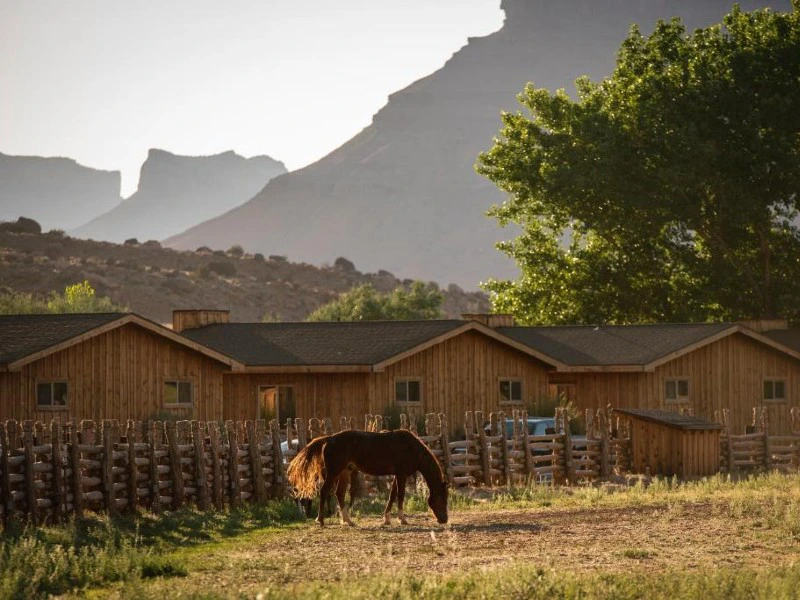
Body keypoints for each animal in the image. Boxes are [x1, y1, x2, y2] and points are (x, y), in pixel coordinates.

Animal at [287, 429, 449, 527]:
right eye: (442, 498)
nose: (444, 519)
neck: (411, 448)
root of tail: (329, 439)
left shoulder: (397, 475)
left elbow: (392, 495)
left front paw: (386, 518)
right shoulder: (401, 474)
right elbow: (401, 495)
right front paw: (402, 519)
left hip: (345, 473)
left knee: (339, 493)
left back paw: (348, 520)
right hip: (334, 473)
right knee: (325, 491)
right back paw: (320, 520)